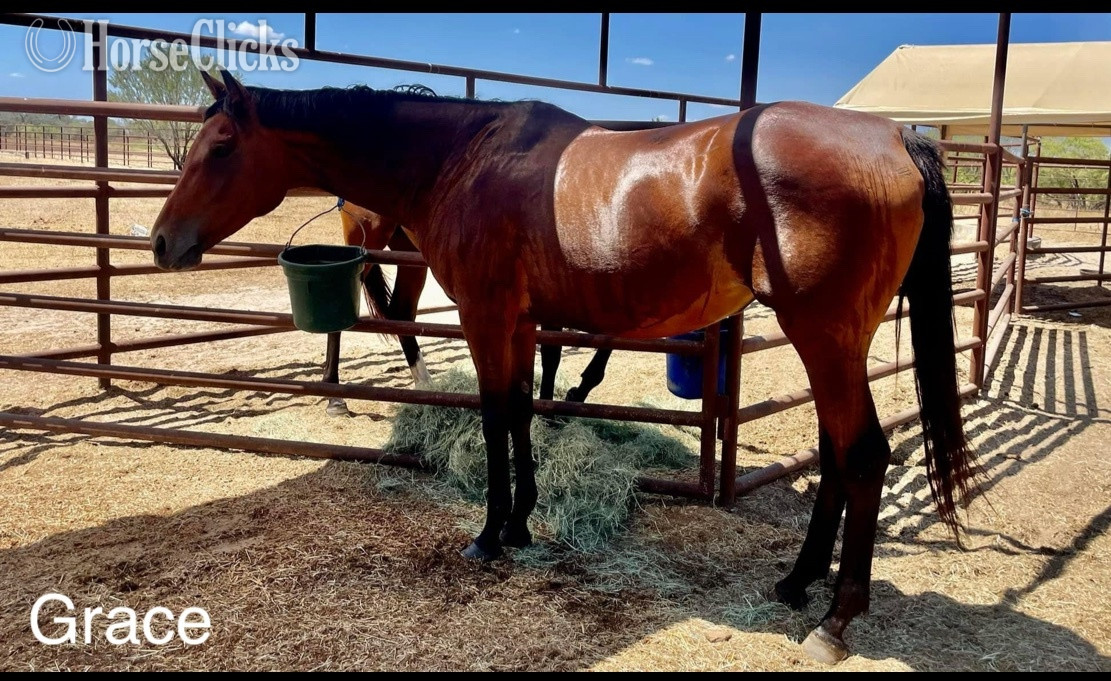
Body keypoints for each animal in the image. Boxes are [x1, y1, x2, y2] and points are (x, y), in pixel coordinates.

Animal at [322, 202, 613, 416]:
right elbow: (552, 353)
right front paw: (550, 412)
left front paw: (576, 394)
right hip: (368, 235)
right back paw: (334, 397)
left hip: (406, 249)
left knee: (402, 313)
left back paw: (425, 386)